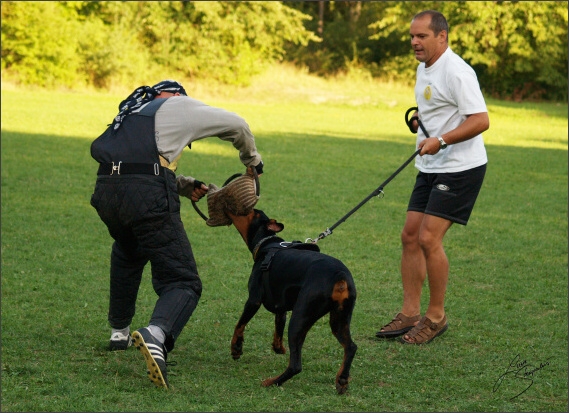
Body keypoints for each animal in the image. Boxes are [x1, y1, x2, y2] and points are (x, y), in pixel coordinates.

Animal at [225, 208, 356, 394]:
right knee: (350, 347)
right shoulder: (281, 305)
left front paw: (236, 348)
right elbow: (278, 325)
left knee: (296, 365)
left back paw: (272, 382)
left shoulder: (253, 300)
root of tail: (339, 276)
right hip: (339, 319)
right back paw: (342, 379)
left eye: (253, 211)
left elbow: (240, 324)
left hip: (300, 318)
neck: (266, 244)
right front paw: (278, 347)